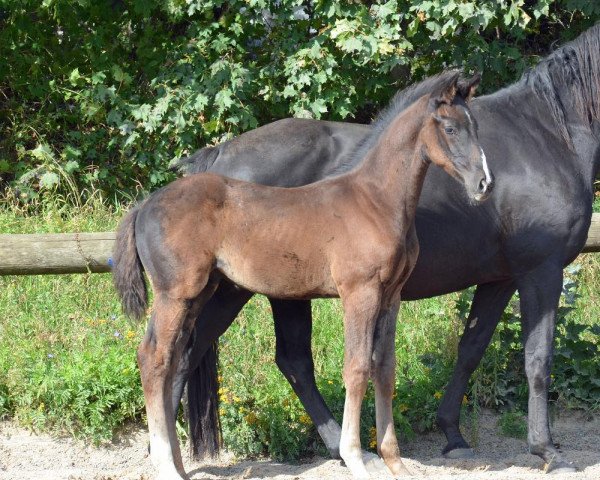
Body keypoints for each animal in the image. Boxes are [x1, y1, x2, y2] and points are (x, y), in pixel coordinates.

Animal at [112, 70, 492, 480]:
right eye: (451, 128)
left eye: (476, 127)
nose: (484, 184)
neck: (374, 202)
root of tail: (144, 205)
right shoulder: (359, 293)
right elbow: (357, 367)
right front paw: (355, 458)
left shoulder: (391, 296)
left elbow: (384, 369)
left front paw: (395, 461)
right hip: (177, 293)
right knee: (153, 357)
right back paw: (165, 464)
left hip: (201, 292)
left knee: (174, 358)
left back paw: (178, 466)